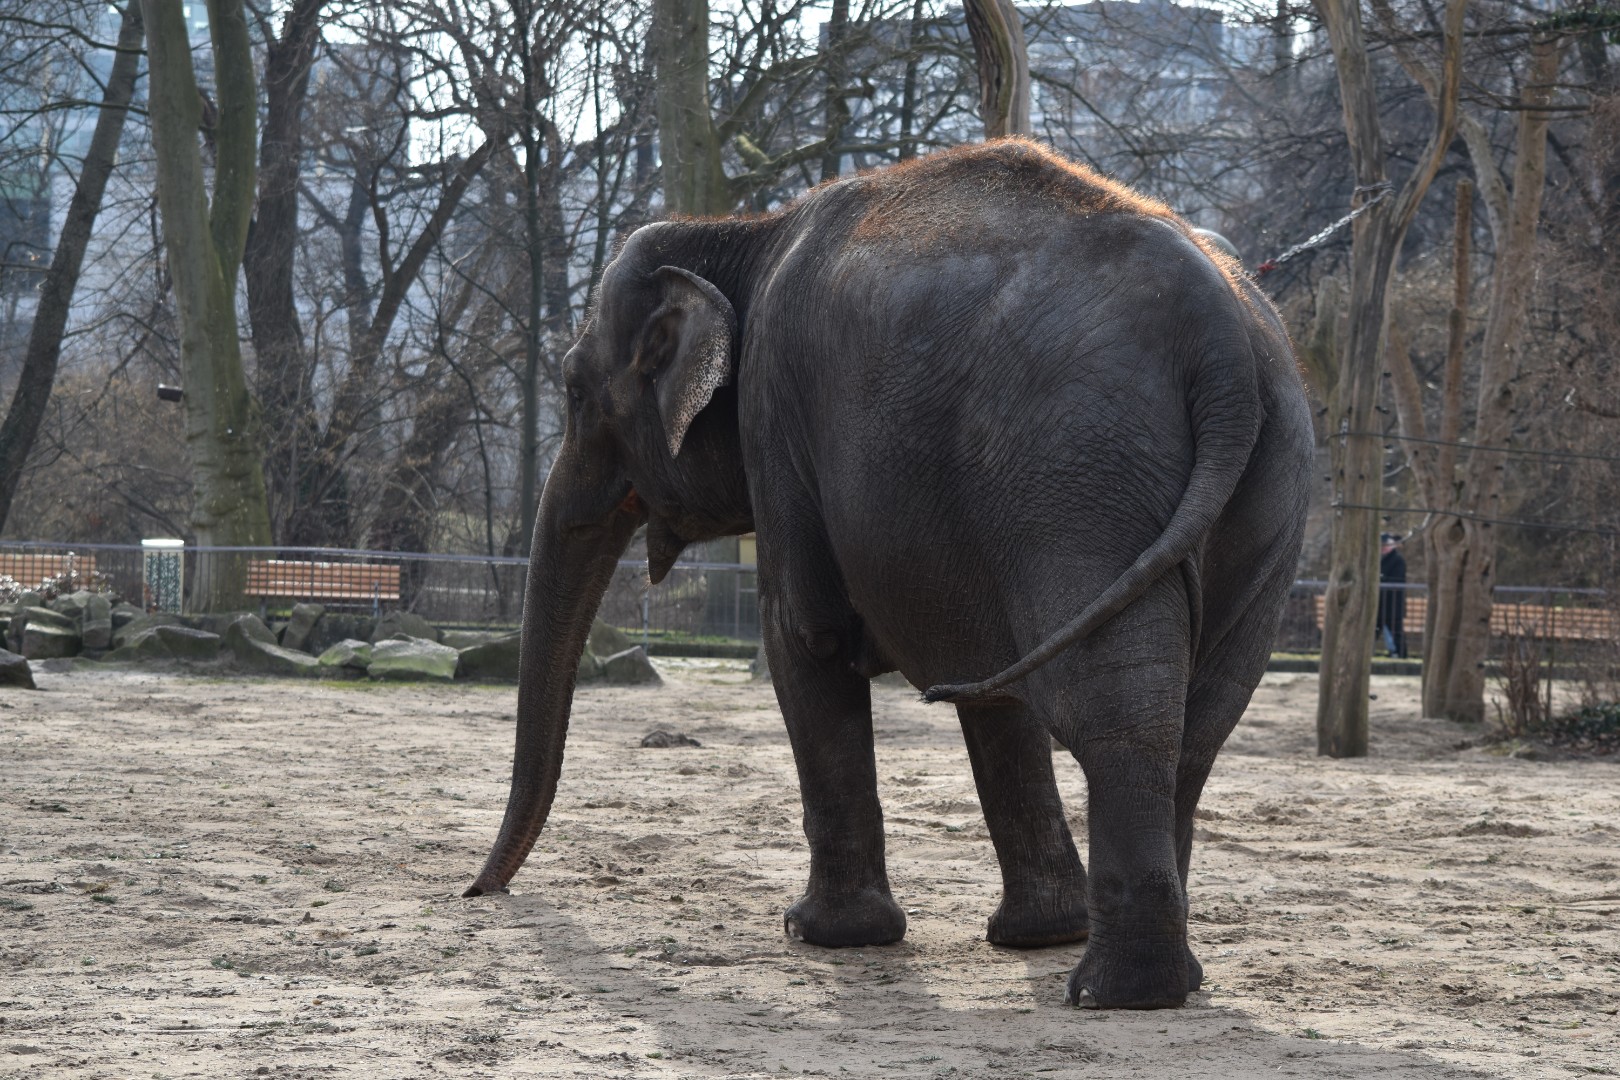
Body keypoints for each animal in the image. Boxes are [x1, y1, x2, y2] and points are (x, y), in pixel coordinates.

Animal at [465, 139, 1312, 1010]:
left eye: (572, 391)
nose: (479, 892)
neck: (747, 229)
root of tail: (1219, 336)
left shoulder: (778, 420)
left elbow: (805, 638)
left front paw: (821, 934)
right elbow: (990, 682)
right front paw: (1037, 934)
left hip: (1080, 470)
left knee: (1113, 706)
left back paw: (1113, 993)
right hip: (1261, 485)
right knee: (1197, 719)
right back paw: (1165, 978)